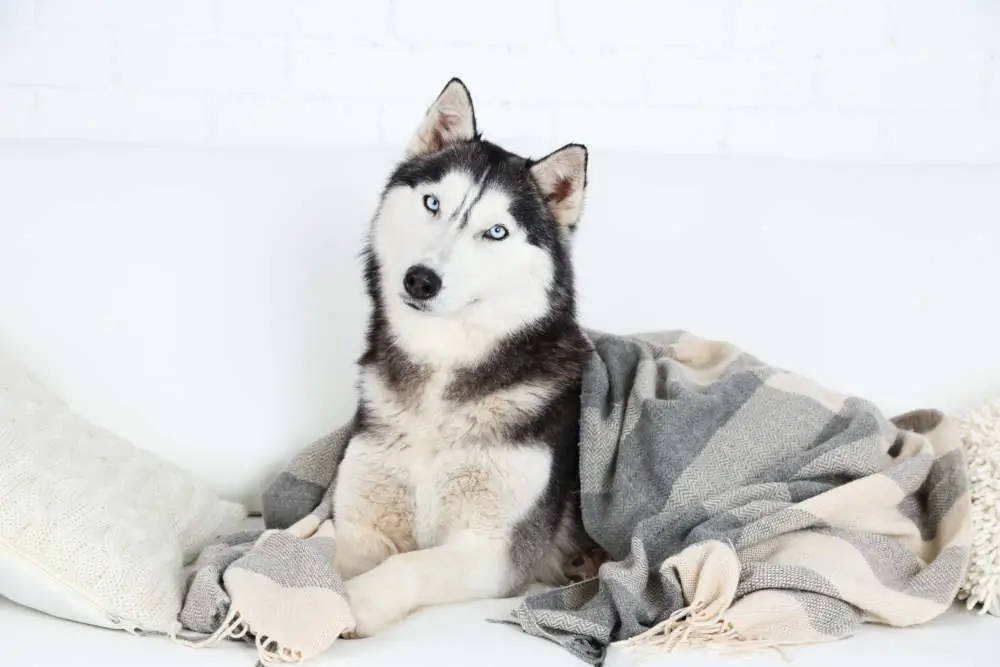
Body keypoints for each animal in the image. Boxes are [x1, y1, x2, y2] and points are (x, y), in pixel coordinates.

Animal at [336, 78, 600, 636]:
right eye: (432, 203)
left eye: (496, 231)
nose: (420, 279)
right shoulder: (359, 522)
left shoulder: (497, 550)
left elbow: (409, 565)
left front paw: (356, 602)